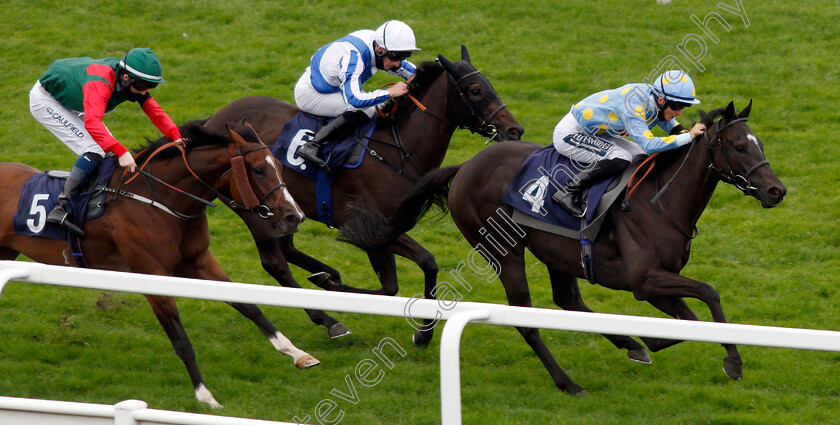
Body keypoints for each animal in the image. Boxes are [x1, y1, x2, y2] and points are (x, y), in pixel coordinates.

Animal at [0, 120, 316, 408]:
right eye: (259, 169)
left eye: (279, 165)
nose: (294, 216)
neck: (163, 199)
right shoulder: (152, 275)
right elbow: (182, 342)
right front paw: (205, 396)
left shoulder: (198, 261)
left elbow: (250, 306)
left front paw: (296, 352)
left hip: (7, 253)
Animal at [200, 45, 520, 338]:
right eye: (476, 90)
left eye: (490, 84)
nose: (515, 130)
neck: (398, 152)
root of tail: (216, 119)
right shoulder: (372, 229)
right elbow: (405, 276)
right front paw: (422, 332)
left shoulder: (385, 231)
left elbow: (408, 275)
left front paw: (423, 331)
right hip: (253, 207)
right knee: (275, 262)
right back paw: (327, 318)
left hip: (284, 207)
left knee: (287, 248)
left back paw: (326, 274)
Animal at [340, 101, 788, 392]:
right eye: (740, 146)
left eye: (761, 144)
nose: (776, 191)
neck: (661, 199)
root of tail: (465, 166)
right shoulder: (644, 281)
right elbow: (708, 295)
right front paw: (732, 362)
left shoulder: (657, 283)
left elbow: (690, 321)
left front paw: (653, 342)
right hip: (503, 251)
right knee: (526, 319)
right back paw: (568, 382)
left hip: (556, 251)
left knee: (568, 301)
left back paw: (629, 345)